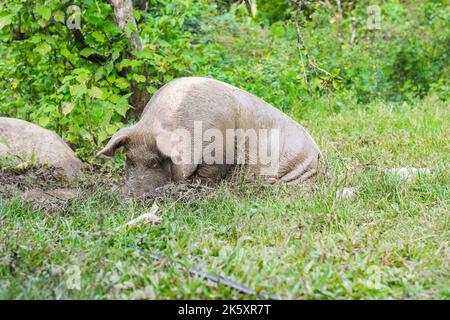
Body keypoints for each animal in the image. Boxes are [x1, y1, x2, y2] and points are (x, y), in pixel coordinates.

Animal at [99, 77, 324, 196]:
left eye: (156, 161)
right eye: (128, 159)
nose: (133, 196)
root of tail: (318, 153)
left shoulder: (222, 151)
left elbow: (208, 174)